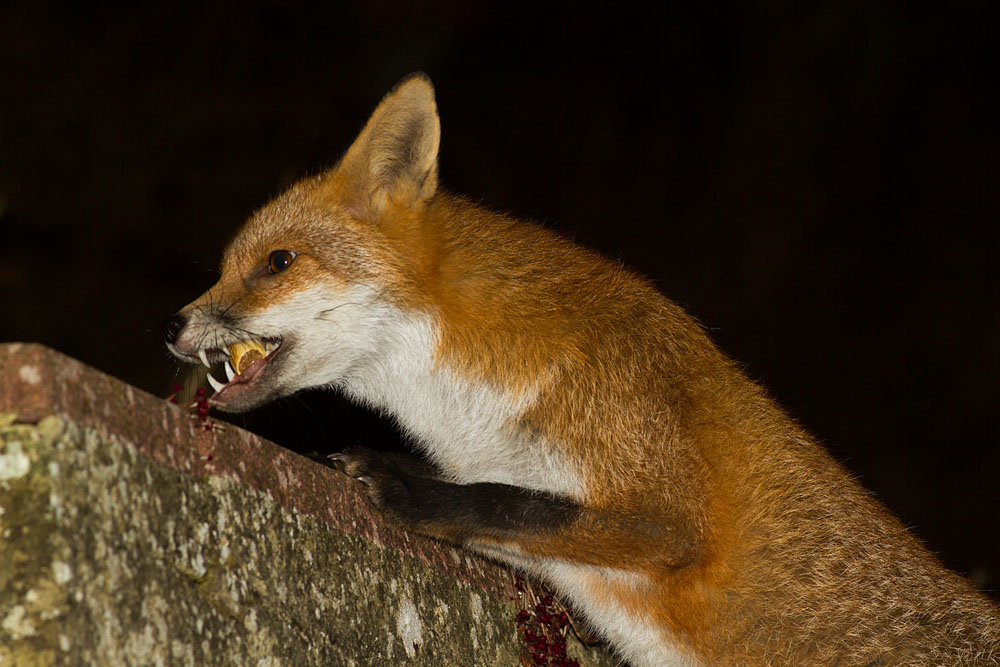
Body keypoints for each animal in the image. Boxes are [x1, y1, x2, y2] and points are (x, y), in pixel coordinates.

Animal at [162, 73, 1000, 665]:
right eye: (225, 268)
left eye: (277, 263)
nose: (173, 325)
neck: (467, 404)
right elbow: (520, 516)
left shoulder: (665, 514)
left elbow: (511, 505)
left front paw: (408, 489)